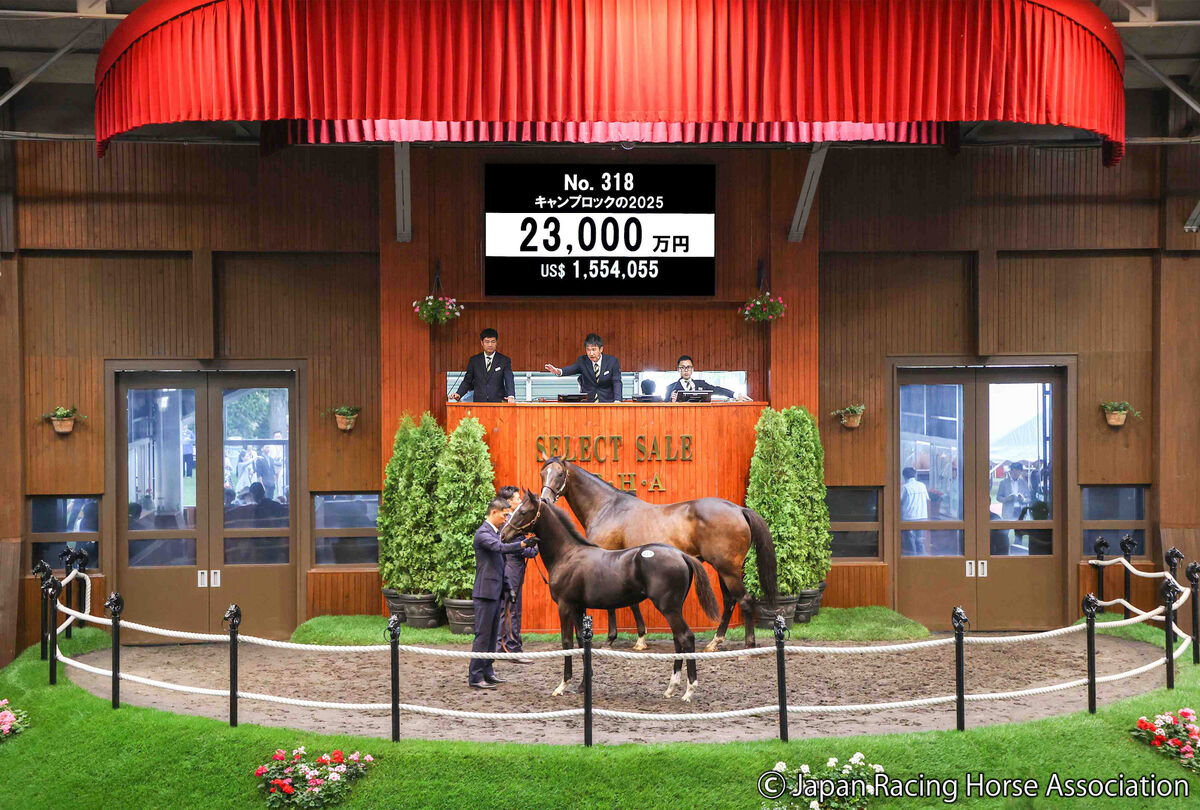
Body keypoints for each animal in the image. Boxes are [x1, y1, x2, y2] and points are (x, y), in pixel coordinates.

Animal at [500, 490, 720, 702]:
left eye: (522, 511)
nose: (503, 535)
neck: (567, 555)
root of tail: (682, 555)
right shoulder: (579, 607)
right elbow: (581, 642)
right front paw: (583, 685)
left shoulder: (565, 606)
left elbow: (567, 642)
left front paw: (563, 685)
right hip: (674, 608)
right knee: (678, 640)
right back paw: (671, 688)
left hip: (669, 608)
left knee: (686, 637)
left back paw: (689, 690)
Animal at [539, 457, 778, 651]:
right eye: (543, 473)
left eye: (560, 474)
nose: (545, 500)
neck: (607, 508)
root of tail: (739, 509)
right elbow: (630, 602)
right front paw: (636, 638)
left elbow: (619, 604)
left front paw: (617, 638)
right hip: (726, 569)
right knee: (729, 601)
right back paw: (715, 642)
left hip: (727, 569)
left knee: (744, 600)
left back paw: (748, 644)